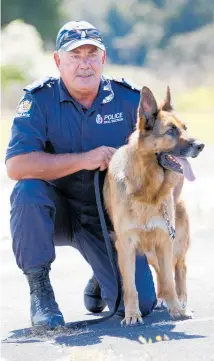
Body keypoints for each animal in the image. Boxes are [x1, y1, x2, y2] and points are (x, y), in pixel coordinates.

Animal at [103, 86, 204, 324]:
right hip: (151, 251)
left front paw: (177, 310)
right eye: (171, 131)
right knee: (159, 273)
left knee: (180, 269)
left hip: (175, 243)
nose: (201, 146)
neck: (147, 190)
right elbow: (131, 286)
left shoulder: (165, 240)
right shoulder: (126, 245)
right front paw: (132, 314)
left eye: (185, 128)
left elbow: (169, 280)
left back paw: (181, 301)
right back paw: (161, 300)